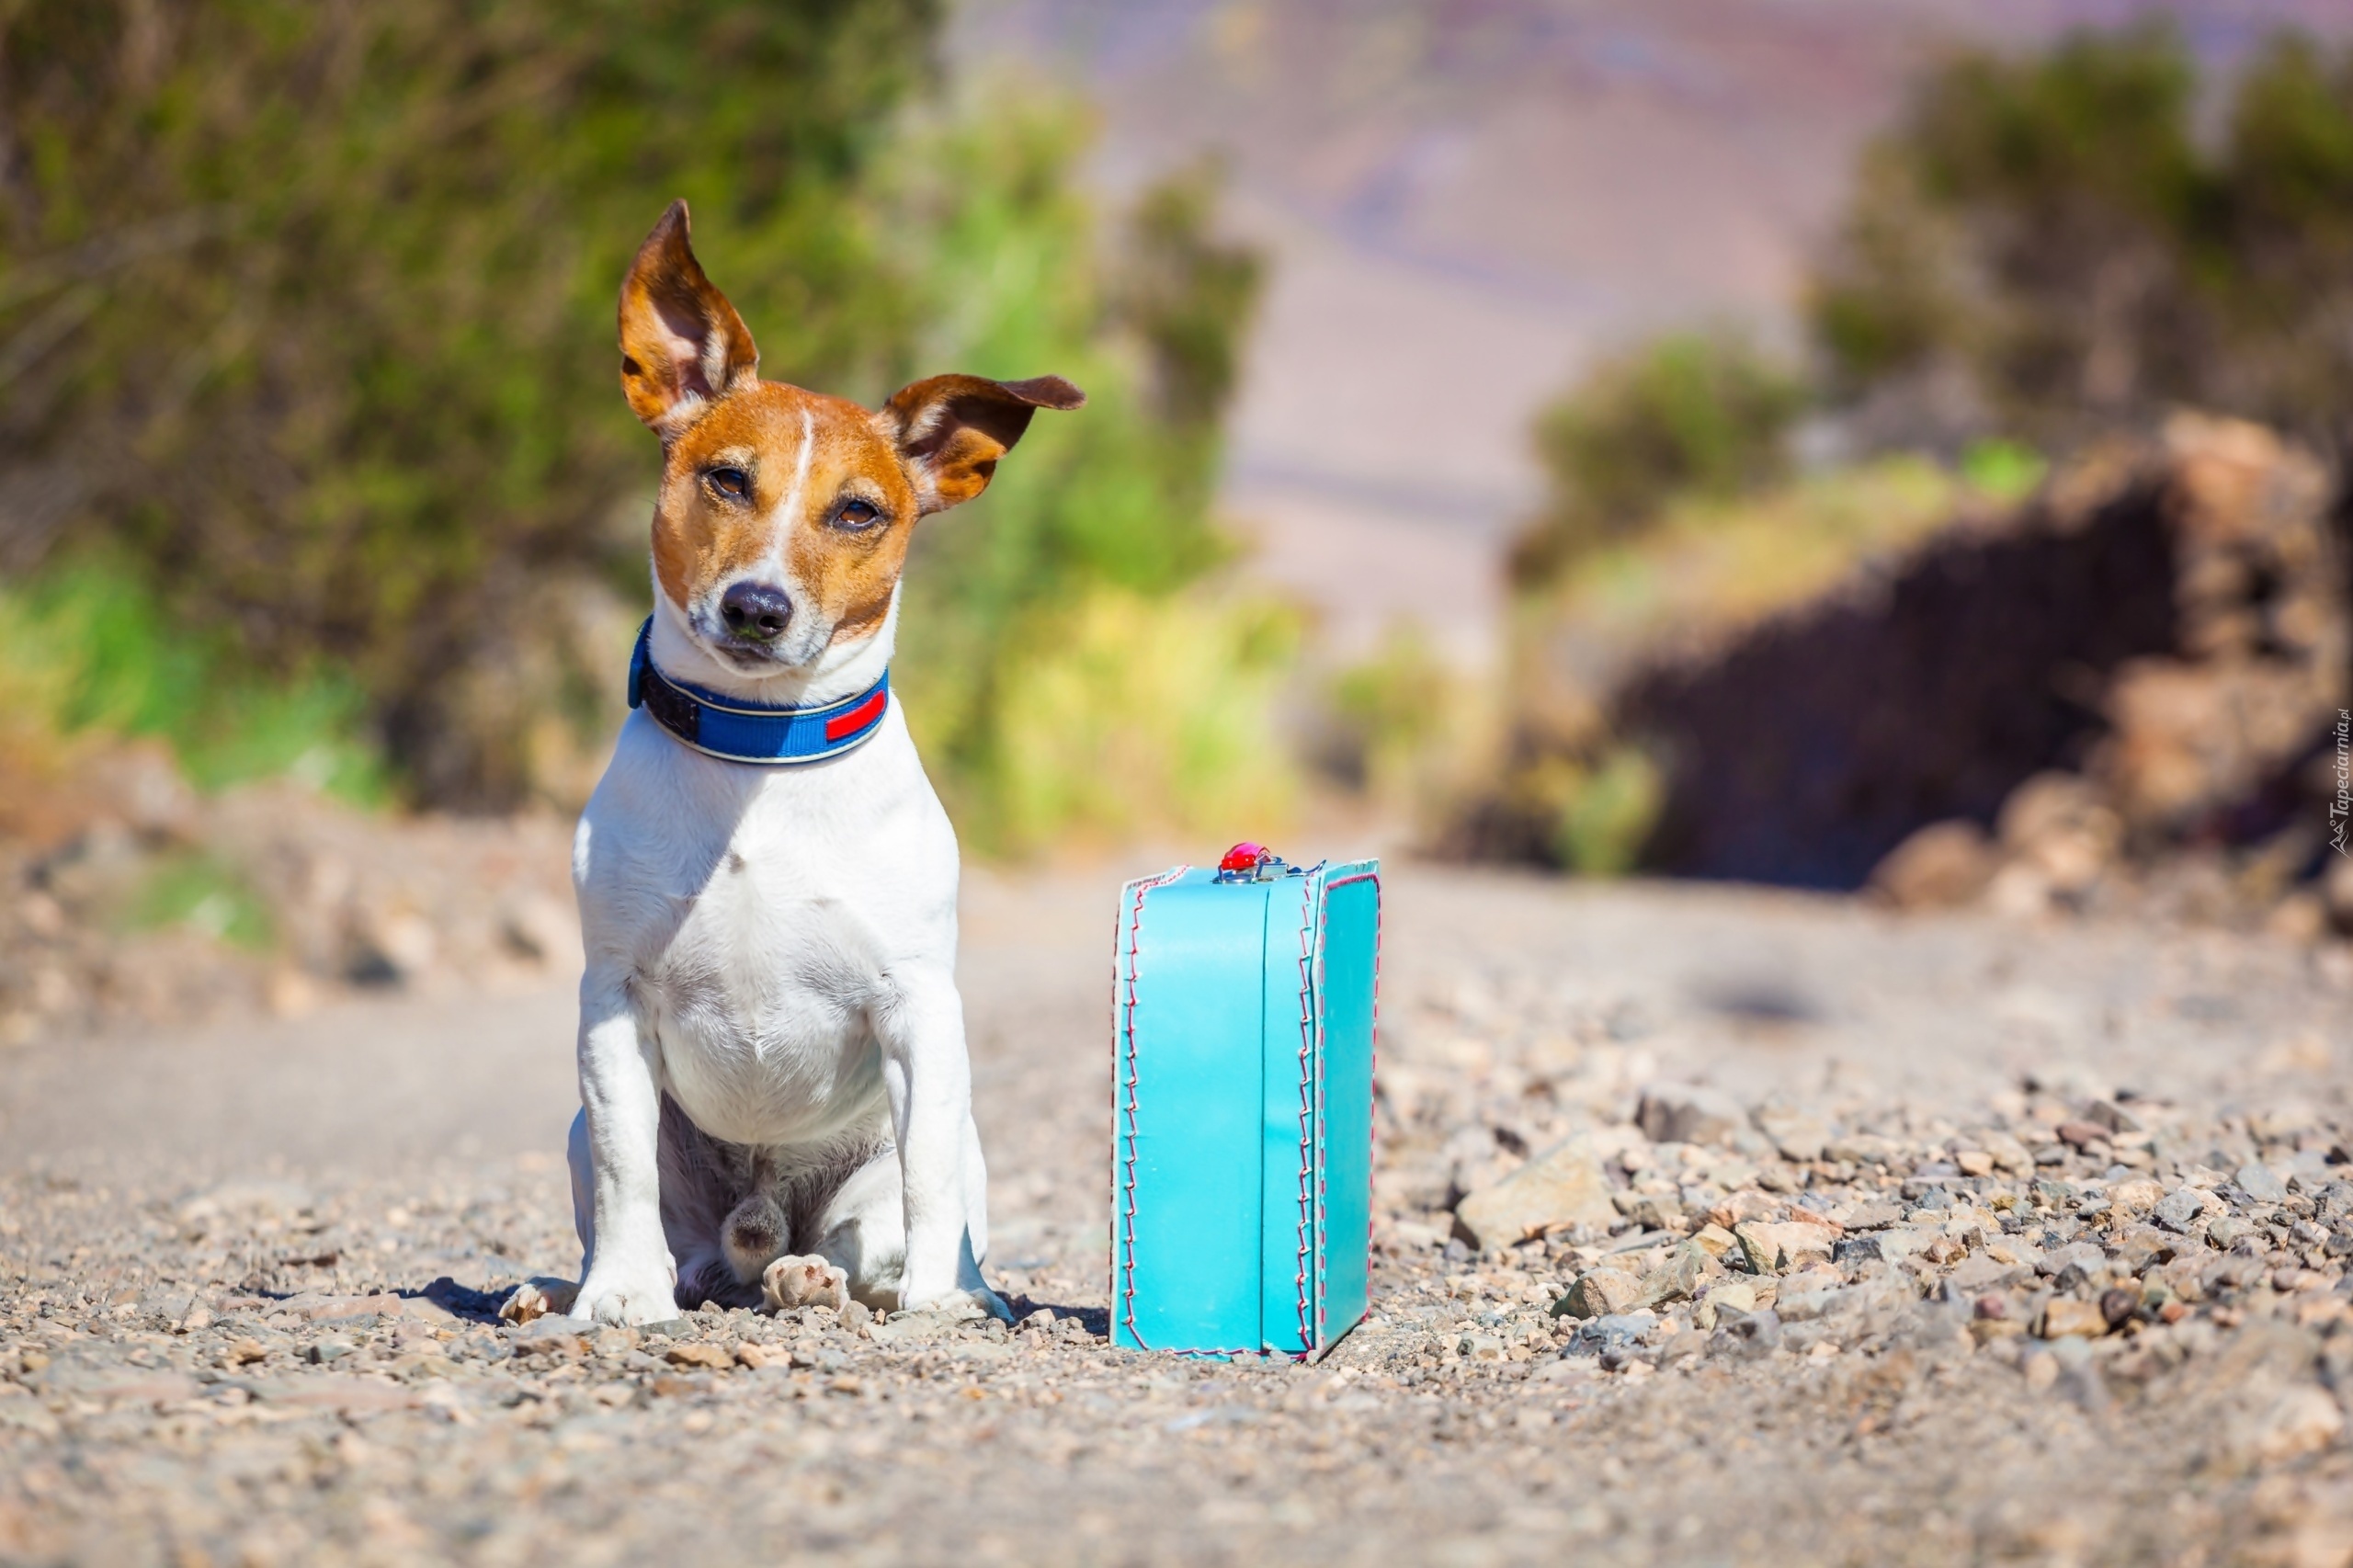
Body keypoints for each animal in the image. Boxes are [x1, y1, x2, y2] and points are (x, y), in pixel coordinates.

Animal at [564, 195, 1077, 1318]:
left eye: (857, 511)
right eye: (725, 479)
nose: (757, 606)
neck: (761, 755)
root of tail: (761, 1224)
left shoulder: (920, 1010)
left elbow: (927, 1178)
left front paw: (939, 1301)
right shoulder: (612, 1001)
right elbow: (625, 1166)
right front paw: (615, 1296)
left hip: (910, 1161)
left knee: (865, 1235)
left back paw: (830, 1276)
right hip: (600, 1140)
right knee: (685, 1242)